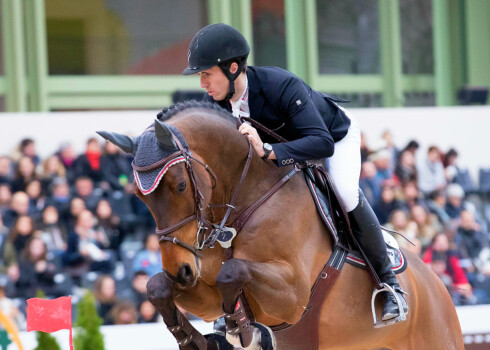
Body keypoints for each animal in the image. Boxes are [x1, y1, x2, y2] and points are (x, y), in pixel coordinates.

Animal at [97, 102, 466, 350]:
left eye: (180, 186)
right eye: (139, 196)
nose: (182, 271)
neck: (245, 198)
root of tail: (437, 285)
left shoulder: (293, 295)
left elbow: (232, 272)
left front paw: (243, 331)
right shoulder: (203, 292)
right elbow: (157, 287)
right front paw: (198, 339)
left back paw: (392, 300)